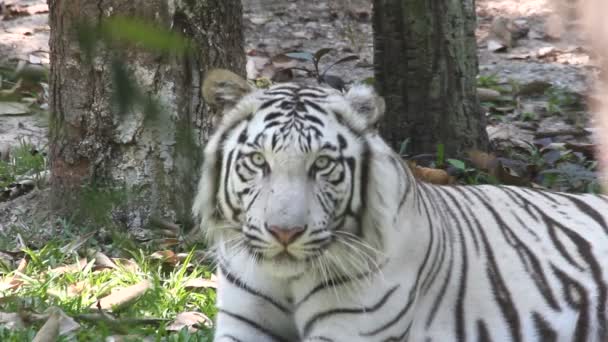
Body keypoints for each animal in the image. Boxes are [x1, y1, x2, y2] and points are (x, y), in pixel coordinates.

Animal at [194, 69, 608, 342]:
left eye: (322, 164)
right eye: (258, 160)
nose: (285, 233)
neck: (287, 281)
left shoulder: (349, 331)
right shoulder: (241, 324)